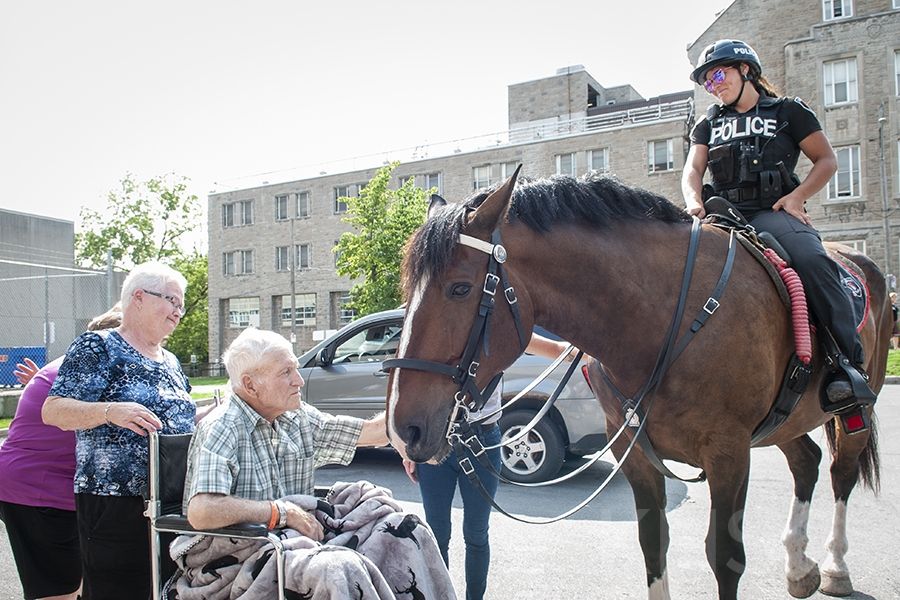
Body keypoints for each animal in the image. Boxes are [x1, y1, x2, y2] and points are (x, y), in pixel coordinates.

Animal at [384, 169, 884, 600]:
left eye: (461, 288)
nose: (402, 429)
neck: (662, 319)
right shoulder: (635, 452)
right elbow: (652, 543)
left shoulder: (729, 453)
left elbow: (725, 557)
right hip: (787, 420)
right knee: (806, 462)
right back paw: (799, 567)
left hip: (853, 411)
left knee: (841, 472)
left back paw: (835, 567)